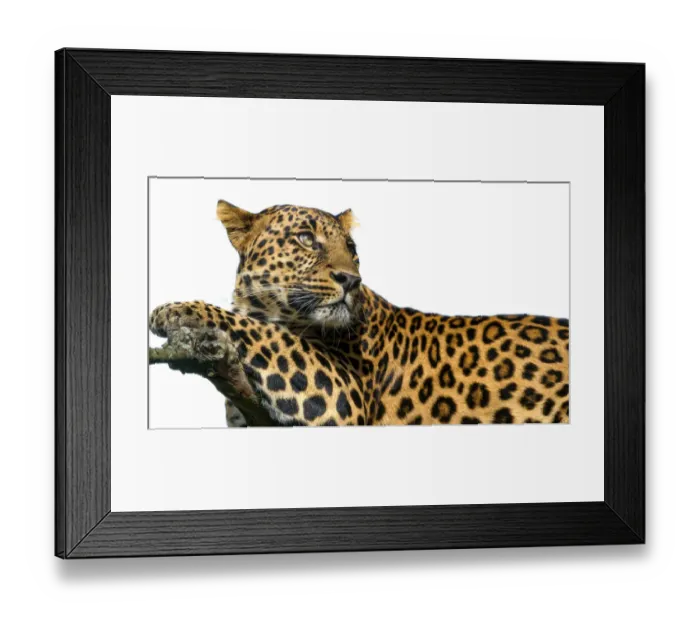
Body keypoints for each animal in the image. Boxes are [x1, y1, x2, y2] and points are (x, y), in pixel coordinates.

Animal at [149, 200, 570, 427]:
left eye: (351, 247)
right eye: (306, 239)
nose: (351, 280)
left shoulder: (343, 393)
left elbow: (264, 332)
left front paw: (176, 310)